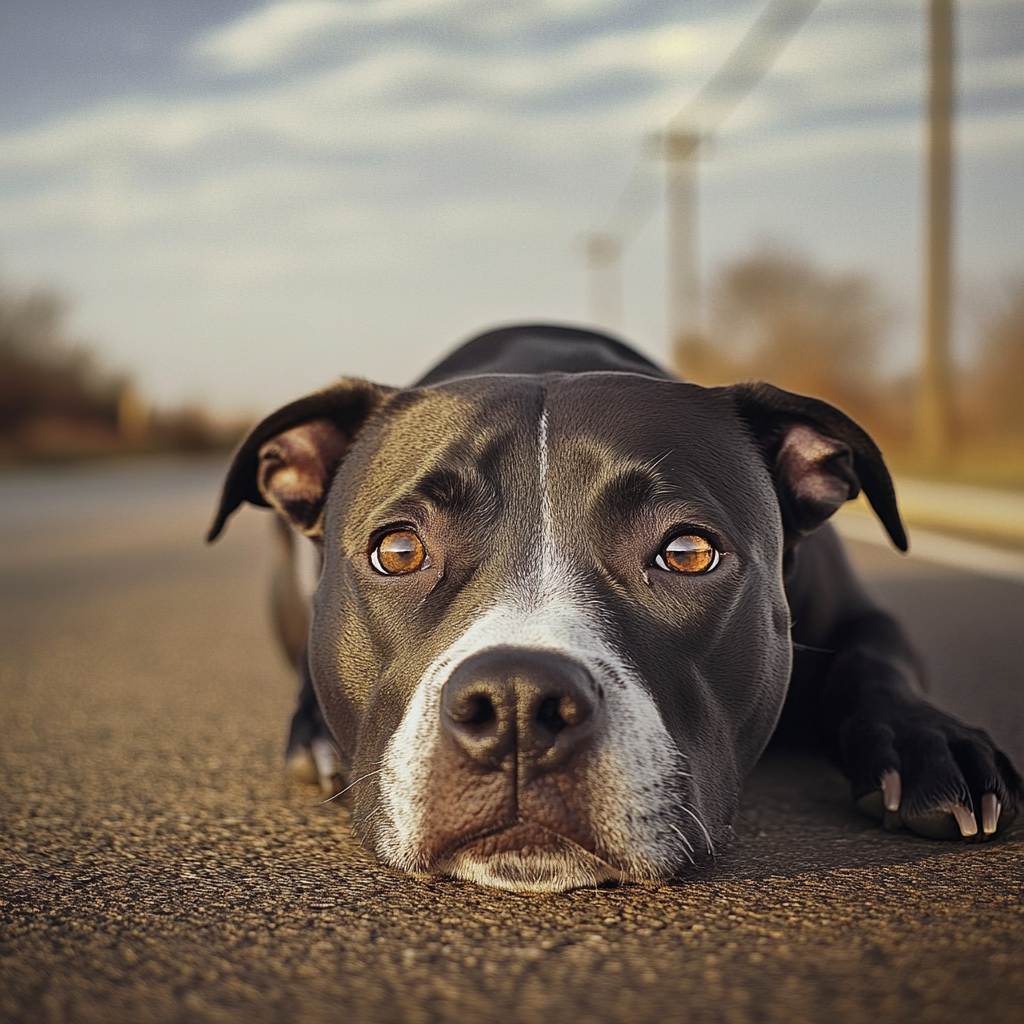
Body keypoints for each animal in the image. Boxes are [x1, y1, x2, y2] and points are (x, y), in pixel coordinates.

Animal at [209, 323, 1024, 892]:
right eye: (400, 551)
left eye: (688, 552)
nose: (516, 702)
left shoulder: (859, 616)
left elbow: (874, 656)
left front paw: (930, 743)